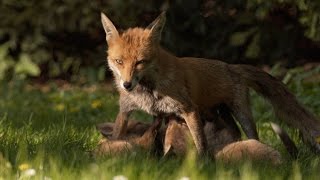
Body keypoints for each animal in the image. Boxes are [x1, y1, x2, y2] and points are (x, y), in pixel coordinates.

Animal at [100, 11, 320, 154]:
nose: (127, 85)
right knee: (235, 132)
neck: (147, 89)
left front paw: (203, 165)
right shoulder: (126, 111)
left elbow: (200, 143)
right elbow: (118, 134)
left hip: (241, 113)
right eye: (119, 62)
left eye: (140, 62)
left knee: (251, 134)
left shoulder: (189, 110)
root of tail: (231, 66)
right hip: (221, 114)